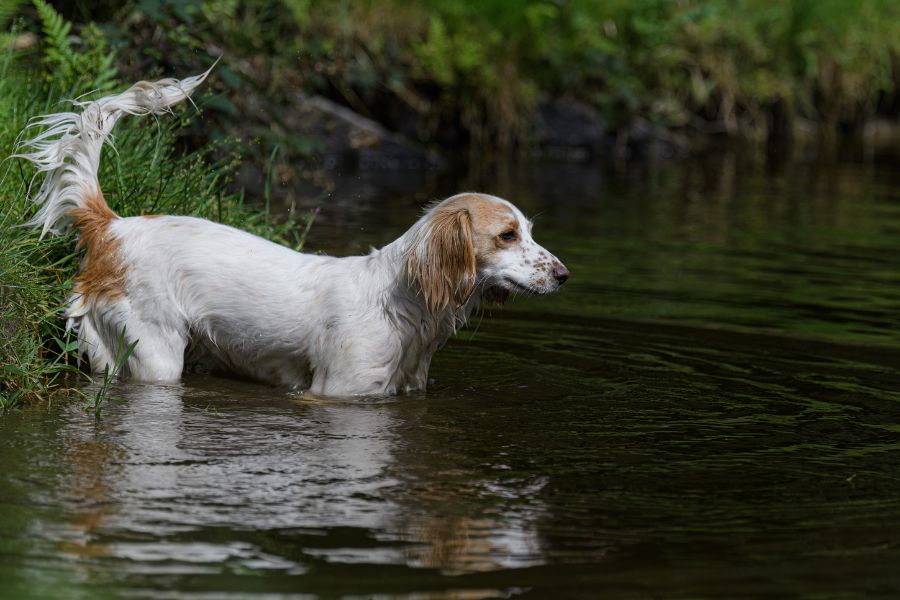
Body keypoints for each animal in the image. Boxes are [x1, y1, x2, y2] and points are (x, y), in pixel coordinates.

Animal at [15, 71, 568, 394]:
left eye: (528, 231)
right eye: (507, 235)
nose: (564, 275)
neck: (402, 303)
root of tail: (113, 224)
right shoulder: (340, 393)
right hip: (154, 351)